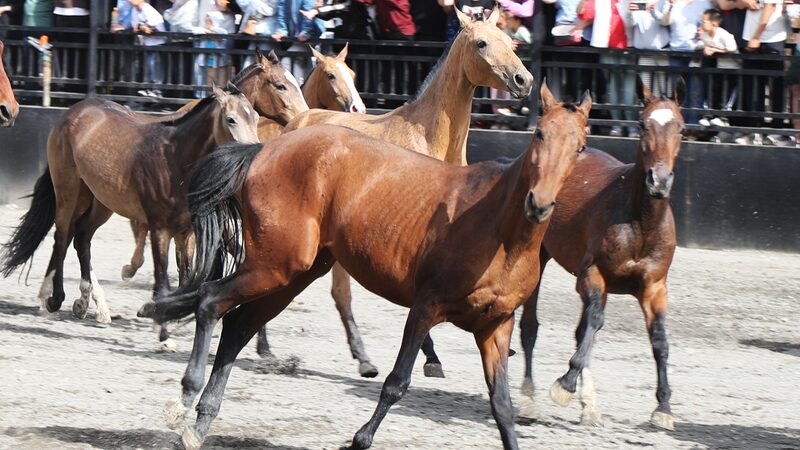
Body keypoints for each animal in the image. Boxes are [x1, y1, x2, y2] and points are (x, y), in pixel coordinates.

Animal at [0, 84, 259, 326]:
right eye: (231, 119)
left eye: (256, 118)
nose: (254, 156)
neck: (175, 159)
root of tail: (73, 112)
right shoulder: (160, 228)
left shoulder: (186, 232)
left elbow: (186, 272)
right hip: (68, 191)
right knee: (62, 236)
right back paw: (52, 298)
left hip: (100, 201)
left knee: (81, 235)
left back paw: (90, 305)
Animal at [139, 83, 591, 450]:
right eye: (539, 133)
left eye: (581, 146)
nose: (539, 203)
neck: (498, 230)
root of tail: (264, 150)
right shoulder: (426, 307)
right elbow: (397, 382)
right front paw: (360, 438)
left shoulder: (496, 326)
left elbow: (502, 406)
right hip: (276, 267)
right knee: (210, 302)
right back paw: (186, 397)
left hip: (294, 274)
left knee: (235, 326)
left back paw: (201, 423)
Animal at [258, 7, 534, 379]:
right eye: (482, 43)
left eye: (510, 40)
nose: (523, 80)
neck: (430, 138)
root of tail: (295, 122)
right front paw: (431, 359)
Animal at [518, 78, 685, 430]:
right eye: (642, 124)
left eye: (680, 127)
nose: (659, 181)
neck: (639, 222)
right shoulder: (592, 275)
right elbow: (594, 321)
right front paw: (565, 384)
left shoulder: (654, 286)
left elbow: (659, 339)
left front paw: (663, 407)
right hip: (539, 258)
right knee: (530, 327)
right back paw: (527, 399)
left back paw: (589, 404)